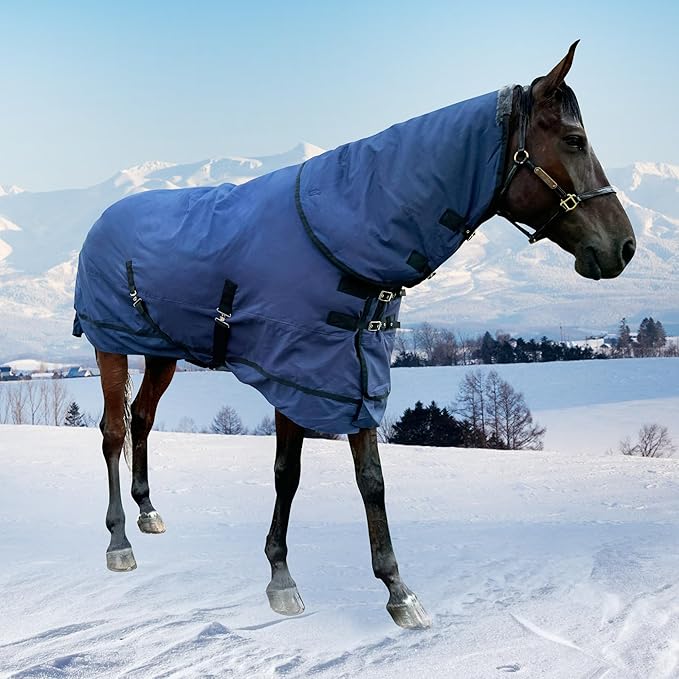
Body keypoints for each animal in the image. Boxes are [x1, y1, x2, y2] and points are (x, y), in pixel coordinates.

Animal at [73, 42, 635, 630]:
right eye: (573, 140)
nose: (624, 247)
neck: (344, 230)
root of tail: (102, 219)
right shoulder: (296, 374)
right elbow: (288, 473)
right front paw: (281, 578)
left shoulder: (355, 372)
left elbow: (371, 479)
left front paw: (397, 590)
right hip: (109, 343)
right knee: (113, 430)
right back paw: (119, 542)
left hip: (162, 351)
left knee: (142, 419)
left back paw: (148, 511)